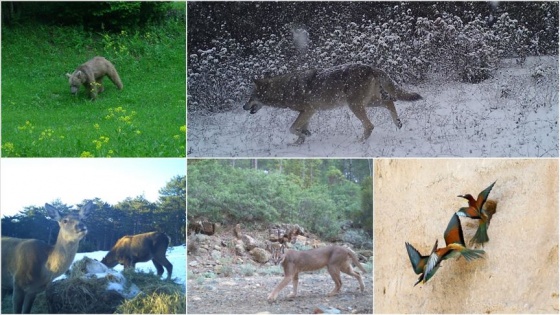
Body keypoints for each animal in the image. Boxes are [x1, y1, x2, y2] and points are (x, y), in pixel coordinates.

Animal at [243, 63, 422, 147]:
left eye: (250, 97)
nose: (243, 107)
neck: (285, 89)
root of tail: (371, 67)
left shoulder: (308, 110)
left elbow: (292, 128)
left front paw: (302, 136)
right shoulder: (308, 112)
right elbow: (299, 130)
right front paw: (299, 141)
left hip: (355, 106)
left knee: (370, 125)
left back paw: (359, 141)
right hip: (369, 103)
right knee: (390, 101)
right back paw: (398, 123)